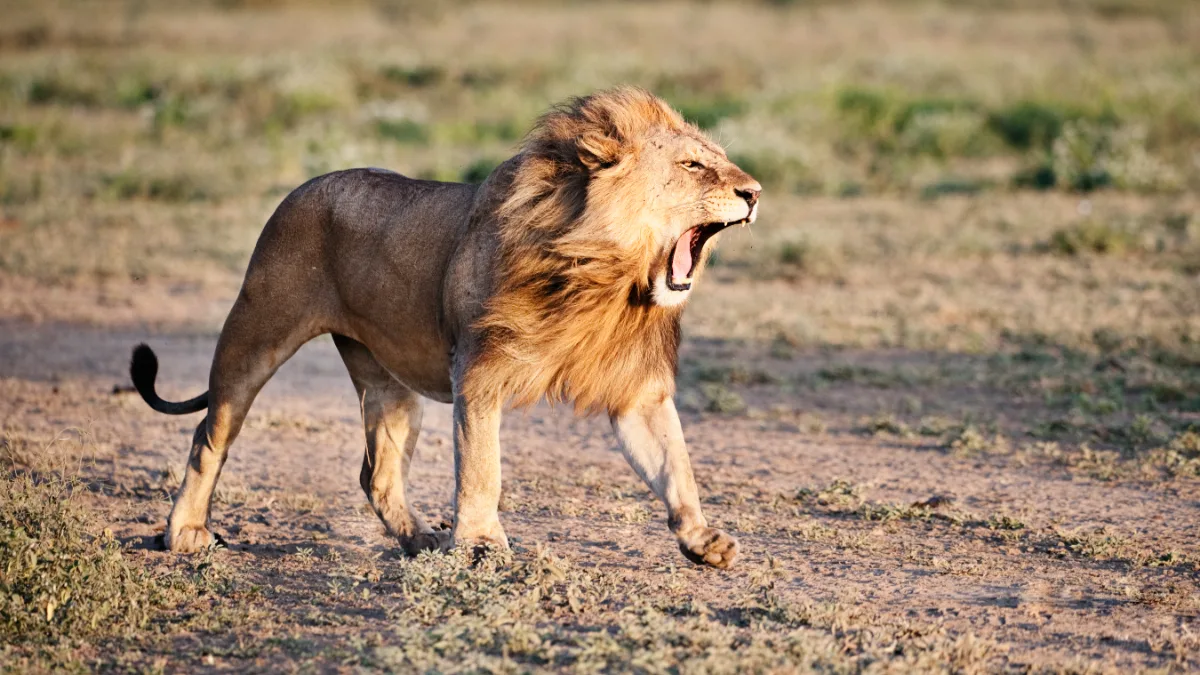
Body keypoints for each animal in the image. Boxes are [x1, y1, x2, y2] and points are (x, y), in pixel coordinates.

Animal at [130, 87, 761, 569]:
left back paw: (420, 542)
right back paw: (183, 533)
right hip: (255, 333)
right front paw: (480, 544)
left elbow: (675, 465)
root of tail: (305, 184)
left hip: (388, 385)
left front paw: (701, 539)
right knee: (209, 434)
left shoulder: (637, 391)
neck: (602, 278)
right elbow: (482, 470)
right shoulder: (478, 373)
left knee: (378, 475)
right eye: (692, 166)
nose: (754, 193)